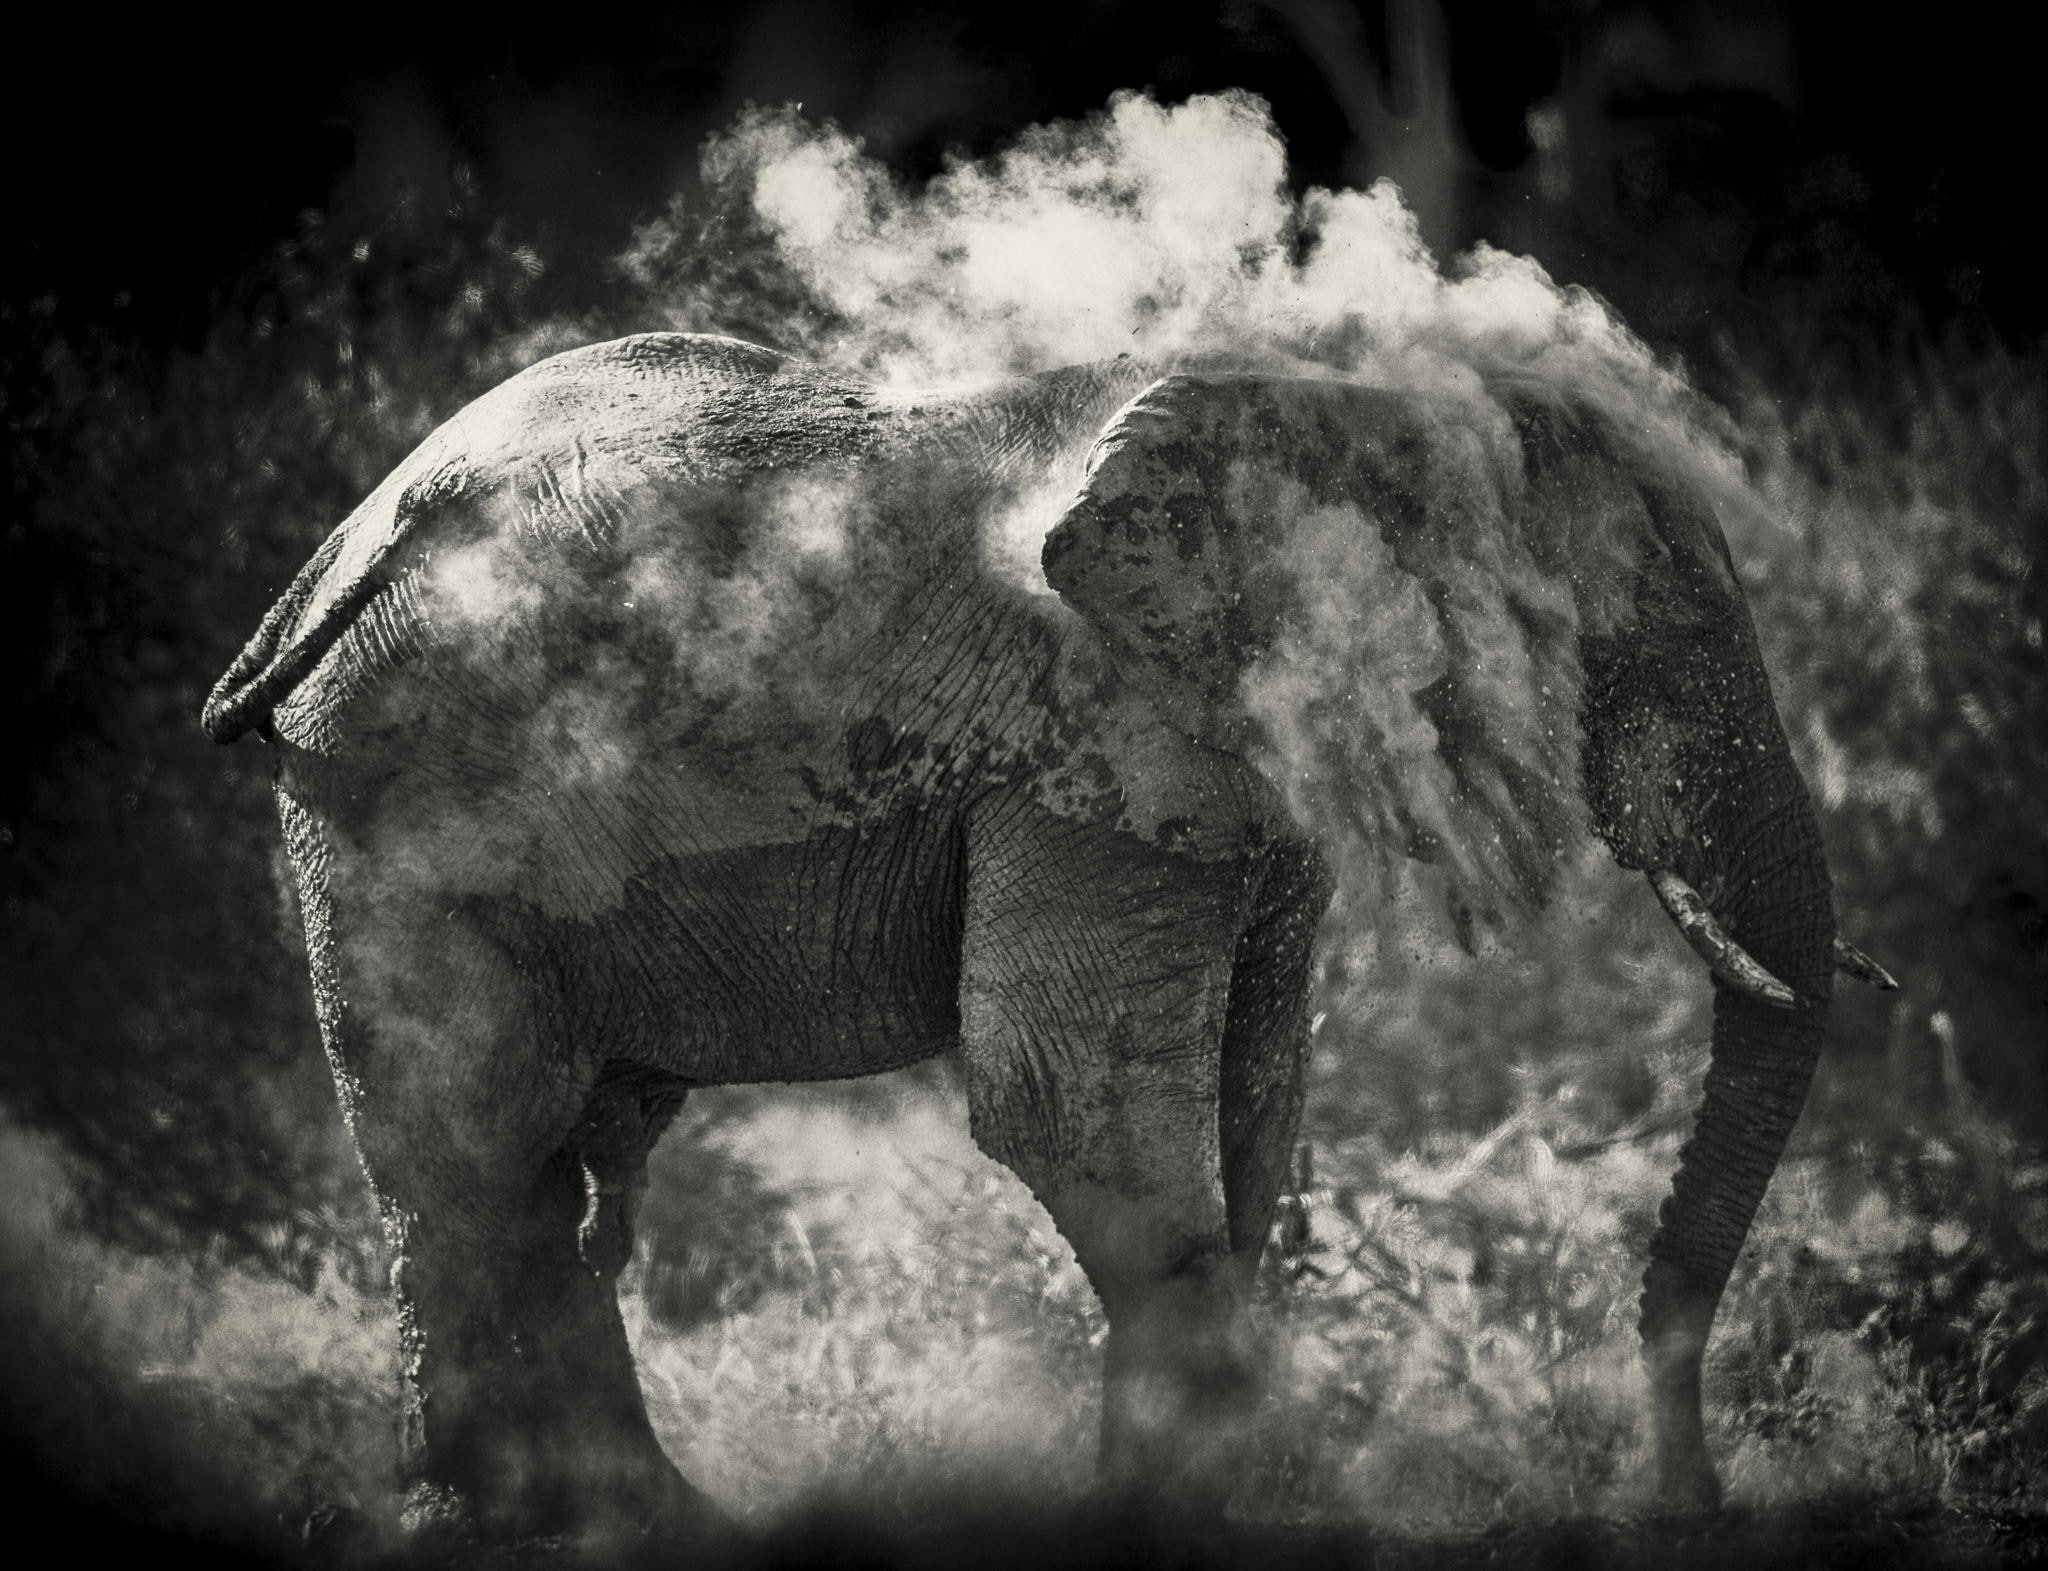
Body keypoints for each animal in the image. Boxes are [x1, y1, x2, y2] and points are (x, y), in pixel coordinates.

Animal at [203, 331, 1895, 1543]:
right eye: (1641, 632)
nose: (1685, 1499)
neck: (1333, 399)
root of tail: (337, 551)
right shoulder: (1097, 745)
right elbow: (1072, 1110)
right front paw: (1194, 1515)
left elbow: (1255, 1100)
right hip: (396, 789)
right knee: (477, 1151)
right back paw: (506, 1525)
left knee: (544, 1165)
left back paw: (633, 1522)